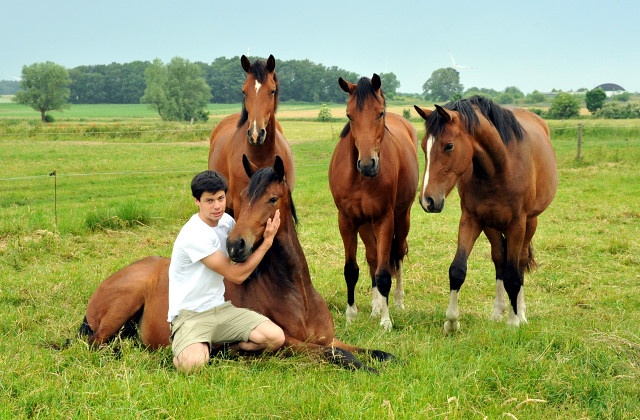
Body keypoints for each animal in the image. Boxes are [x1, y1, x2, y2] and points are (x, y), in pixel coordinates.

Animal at [77, 157, 392, 370]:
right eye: (241, 197)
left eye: (272, 198)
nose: (234, 245)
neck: (297, 294)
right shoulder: (293, 344)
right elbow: (341, 356)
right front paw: (369, 370)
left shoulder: (328, 338)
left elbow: (378, 352)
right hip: (122, 308)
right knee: (95, 345)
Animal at [330, 74, 420, 332]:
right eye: (349, 115)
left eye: (380, 113)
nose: (368, 164)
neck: (360, 179)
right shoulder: (347, 221)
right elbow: (352, 270)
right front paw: (351, 315)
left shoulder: (384, 219)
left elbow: (384, 273)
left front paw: (386, 322)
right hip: (365, 224)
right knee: (372, 258)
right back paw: (375, 307)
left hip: (402, 218)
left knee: (396, 256)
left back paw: (396, 302)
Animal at [416, 96, 556, 334]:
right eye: (424, 146)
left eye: (449, 146)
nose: (428, 201)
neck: (500, 168)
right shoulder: (471, 219)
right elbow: (457, 270)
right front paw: (451, 322)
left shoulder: (517, 224)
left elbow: (513, 274)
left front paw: (514, 321)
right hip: (491, 225)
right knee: (499, 260)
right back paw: (497, 312)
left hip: (530, 223)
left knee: (519, 263)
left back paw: (520, 313)